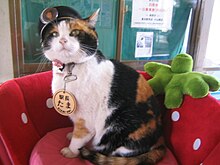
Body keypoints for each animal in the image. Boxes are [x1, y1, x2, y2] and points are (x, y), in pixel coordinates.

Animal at [39, 6, 165, 165]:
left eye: (75, 32)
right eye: (54, 34)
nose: (62, 40)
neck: (70, 69)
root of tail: (160, 141)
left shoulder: (86, 120)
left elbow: (79, 137)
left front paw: (71, 151)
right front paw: (71, 134)